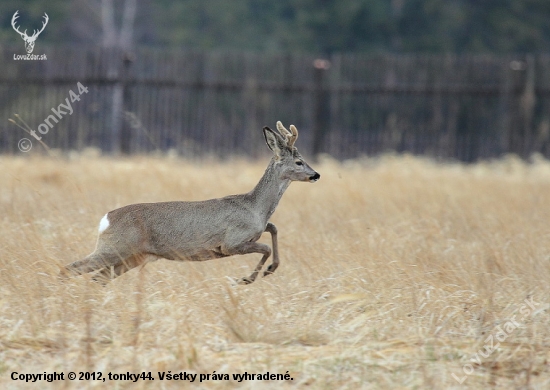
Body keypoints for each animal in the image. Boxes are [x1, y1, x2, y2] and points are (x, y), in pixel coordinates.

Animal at [61, 123, 322, 284]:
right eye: (299, 162)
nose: (316, 175)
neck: (255, 208)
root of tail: (106, 219)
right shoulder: (230, 243)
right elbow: (266, 247)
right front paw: (247, 279)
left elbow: (273, 228)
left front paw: (269, 270)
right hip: (114, 248)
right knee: (68, 269)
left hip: (132, 257)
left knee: (97, 278)